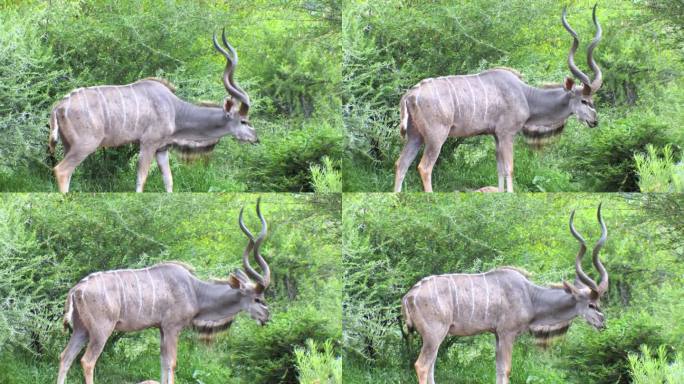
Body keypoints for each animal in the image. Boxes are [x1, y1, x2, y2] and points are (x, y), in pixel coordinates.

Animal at [48, 28, 256, 194]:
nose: (256, 138)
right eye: (244, 121)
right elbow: (141, 181)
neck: (176, 111)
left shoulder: (162, 149)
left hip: (69, 145)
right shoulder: (148, 143)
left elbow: (169, 182)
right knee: (62, 170)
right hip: (85, 145)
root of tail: (59, 106)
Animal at [56, 198, 270, 384]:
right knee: (87, 361)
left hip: (81, 329)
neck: (195, 291)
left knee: (65, 357)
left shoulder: (161, 329)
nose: (267, 317)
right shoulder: (172, 327)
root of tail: (76, 289)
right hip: (101, 331)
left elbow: (163, 362)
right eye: (258, 298)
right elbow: (171, 363)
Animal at [396, 6, 604, 192]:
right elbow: (509, 168)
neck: (526, 96)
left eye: (592, 99)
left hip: (415, 136)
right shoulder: (506, 133)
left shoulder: (496, 135)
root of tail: (410, 94)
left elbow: (500, 170)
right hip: (436, 136)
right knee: (424, 167)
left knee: (401, 164)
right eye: (583, 100)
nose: (594, 121)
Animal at [400, 204, 608, 384]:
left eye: (599, 303)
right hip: (435, 334)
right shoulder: (507, 333)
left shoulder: (497, 334)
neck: (531, 297)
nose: (602, 324)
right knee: (422, 366)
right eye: (591, 304)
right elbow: (506, 369)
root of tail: (409, 295)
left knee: (431, 366)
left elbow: (499, 369)